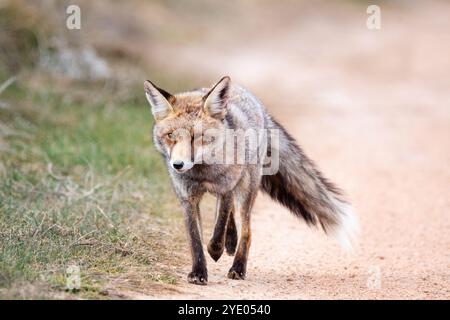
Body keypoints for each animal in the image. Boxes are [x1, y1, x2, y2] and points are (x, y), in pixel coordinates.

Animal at [144, 77, 358, 284]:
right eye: (170, 135)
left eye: (198, 136)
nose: (177, 165)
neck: (203, 173)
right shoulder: (188, 198)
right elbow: (195, 238)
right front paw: (198, 272)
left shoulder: (227, 187)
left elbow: (219, 226)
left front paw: (216, 250)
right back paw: (230, 242)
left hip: (248, 186)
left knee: (247, 230)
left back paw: (238, 266)